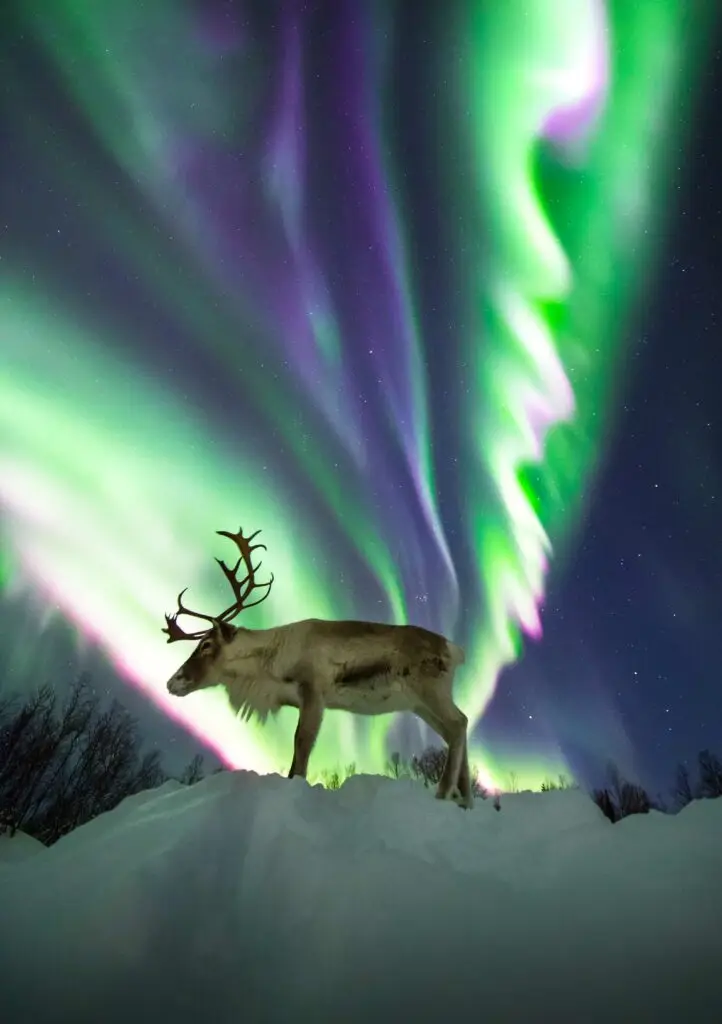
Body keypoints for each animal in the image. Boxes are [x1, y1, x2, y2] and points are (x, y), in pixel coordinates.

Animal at [162, 528, 473, 808]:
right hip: (419, 704)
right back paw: (465, 800)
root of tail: (454, 649)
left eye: (206, 644)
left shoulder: (314, 691)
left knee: (459, 723)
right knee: (456, 729)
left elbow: (301, 747)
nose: (171, 682)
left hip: (430, 691)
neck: (271, 663)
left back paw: (445, 794)